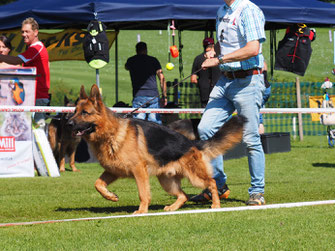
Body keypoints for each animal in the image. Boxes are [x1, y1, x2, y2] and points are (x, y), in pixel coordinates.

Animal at [68, 85, 247, 214]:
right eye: (75, 111)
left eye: (85, 113)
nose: (68, 123)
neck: (110, 133)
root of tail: (193, 144)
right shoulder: (113, 170)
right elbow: (97, 184)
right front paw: (111, 196)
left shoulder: (139, 170)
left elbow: (143, 193)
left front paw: (142, 210)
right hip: (167, 181)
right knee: (184, 195)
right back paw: (173, 208)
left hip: (194, 177)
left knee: (212, 182)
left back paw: (216, 204)